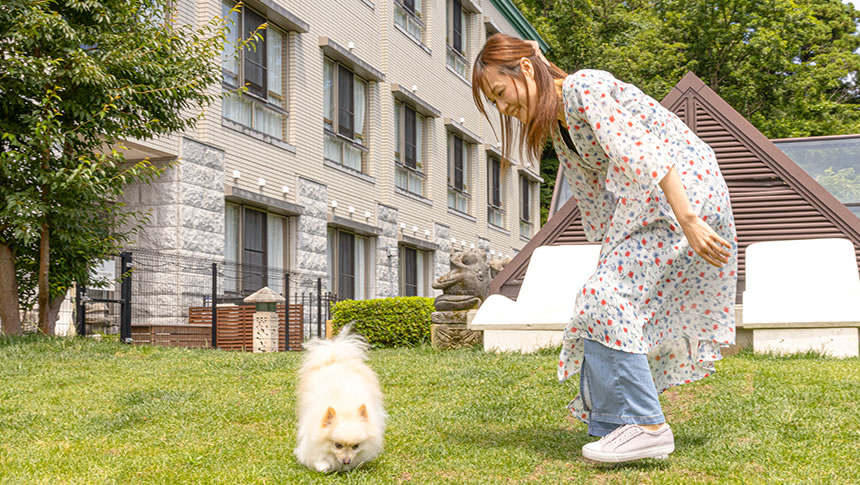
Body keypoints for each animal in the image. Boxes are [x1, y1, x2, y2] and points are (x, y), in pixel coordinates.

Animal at [294, 324, 384, 470]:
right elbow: (320, 463)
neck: (345, 410)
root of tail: (335, 358)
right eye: (338, 445)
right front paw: (325, 465)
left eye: (355, 446)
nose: (346, 461)